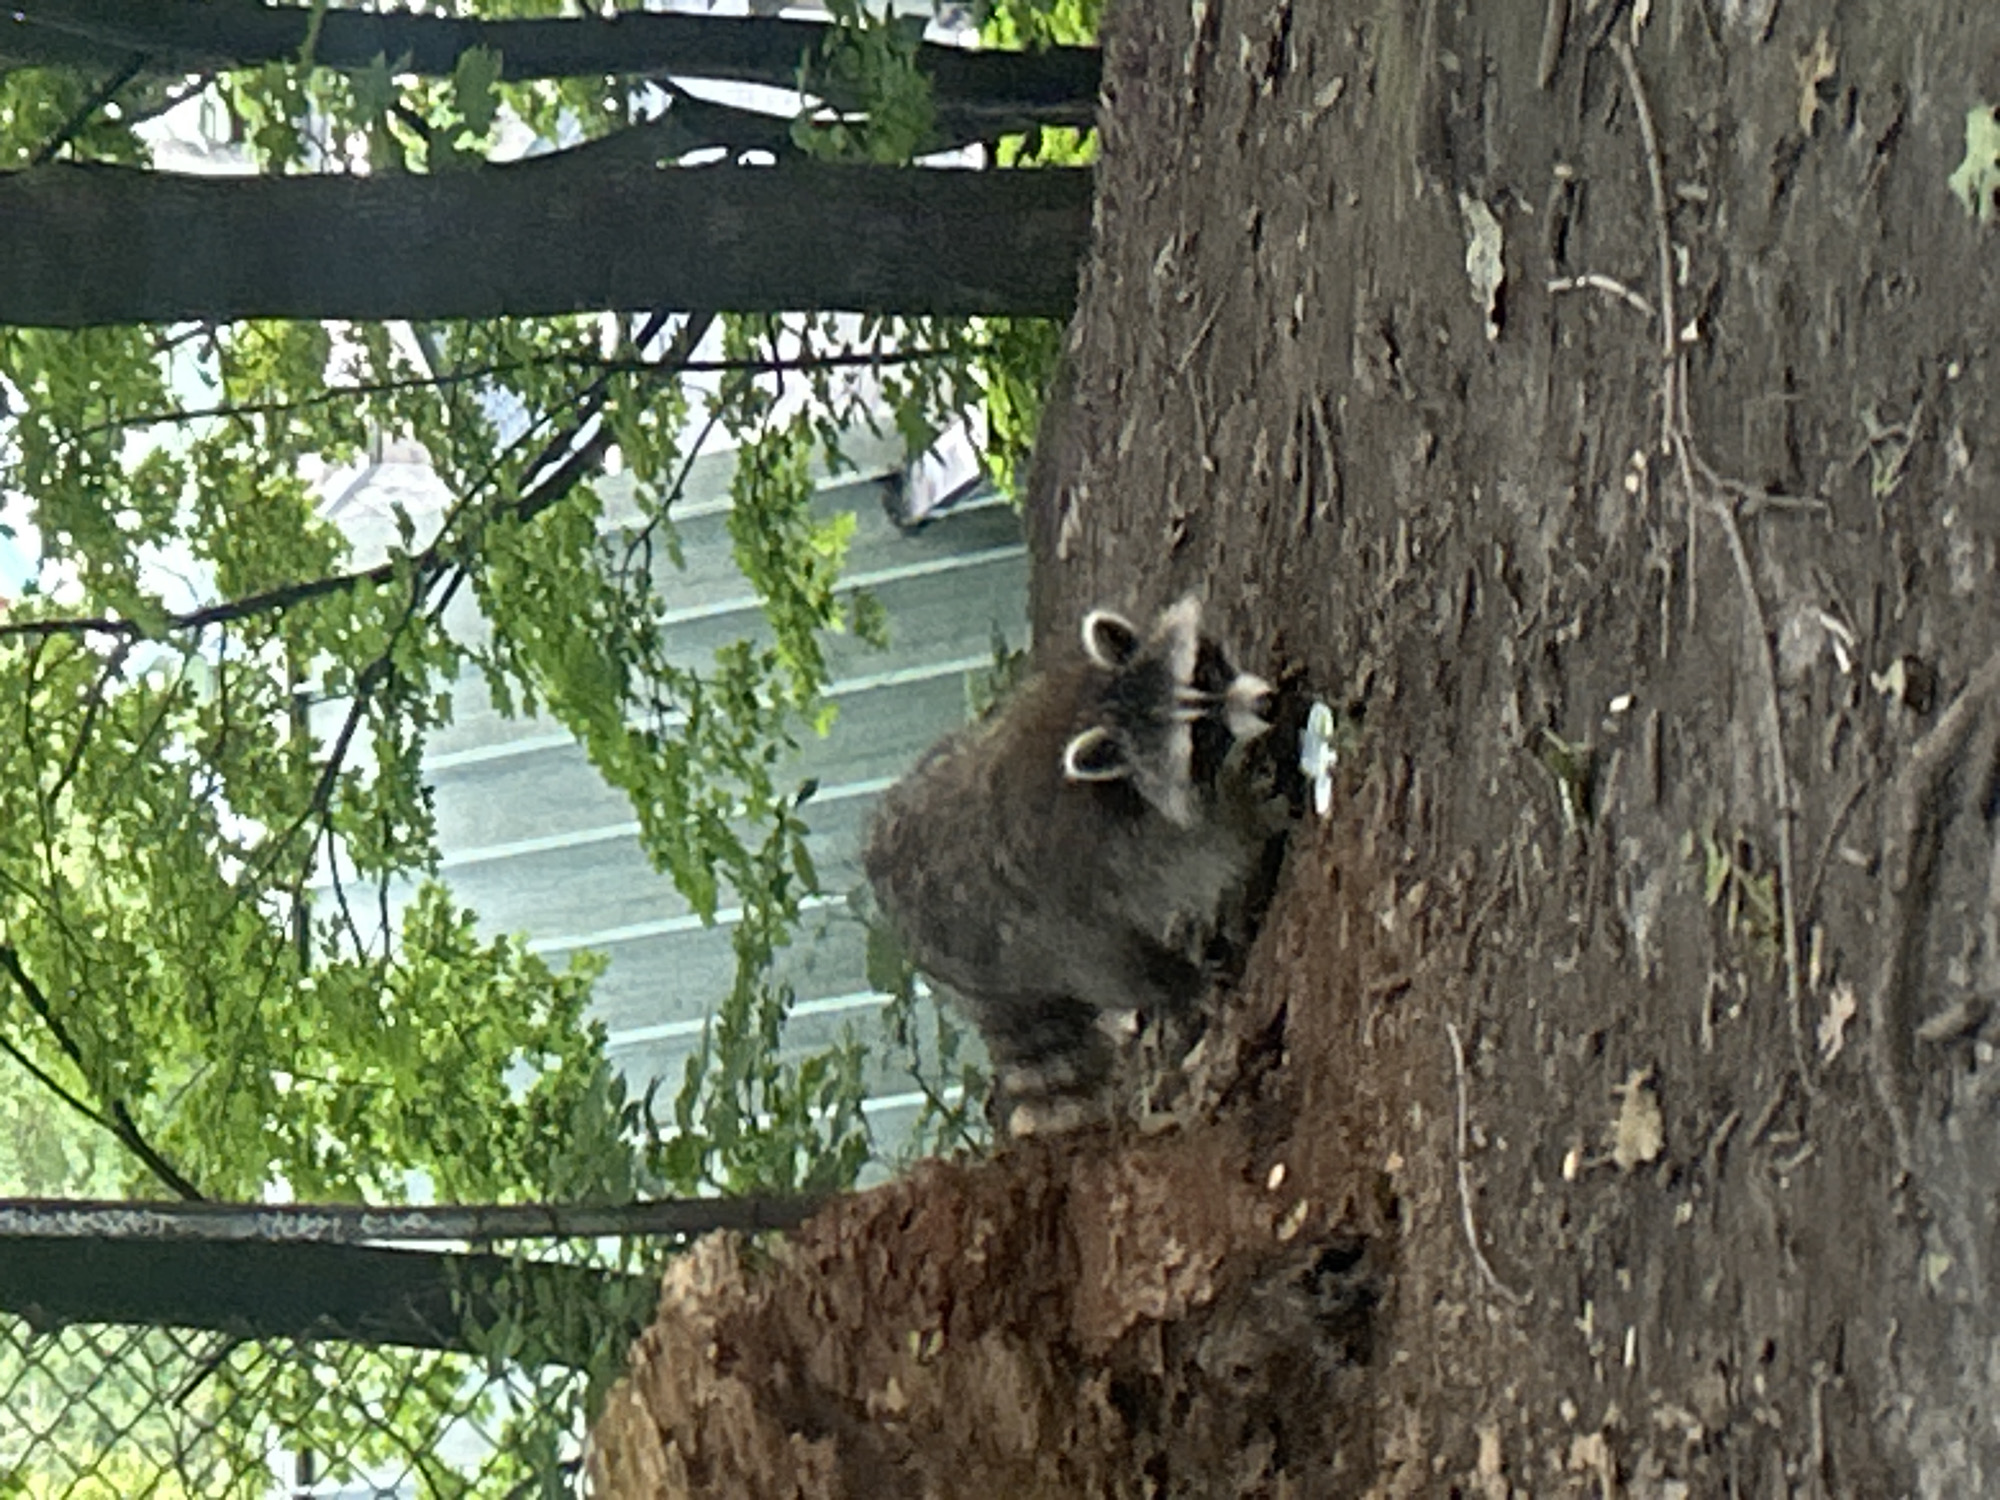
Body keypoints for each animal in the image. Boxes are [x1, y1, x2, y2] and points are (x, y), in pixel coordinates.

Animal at [862, 595, 1287, 1124]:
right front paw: (1258, 815)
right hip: (1041, 939)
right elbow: (1219, 846)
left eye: (1207, 671)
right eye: (1201, 737)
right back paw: (1185, 984)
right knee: (1118, 964)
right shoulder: (1132, 845)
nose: (1267, 704)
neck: (1098, 706)